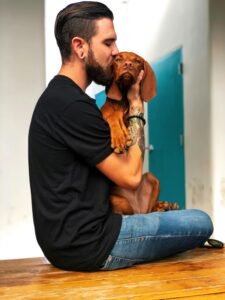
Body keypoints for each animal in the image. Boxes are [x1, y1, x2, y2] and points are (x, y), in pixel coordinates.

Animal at [101, 51, 178, 213]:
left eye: (137, 61)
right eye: (118, 59)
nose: (128, 64)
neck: (124, 101)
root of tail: (137, 209)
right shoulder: (106, 111)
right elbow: (111, 114)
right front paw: (119, 137)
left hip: (151, 178)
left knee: (149, 210)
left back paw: (165, 206)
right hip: (118, 200)